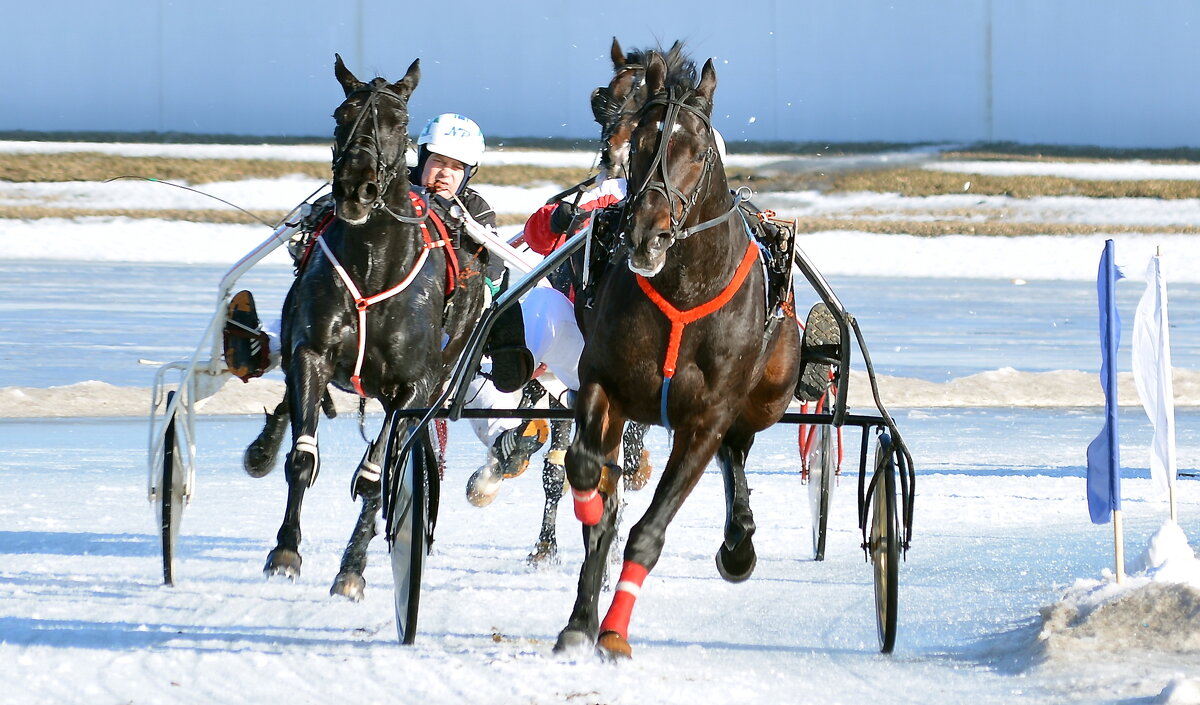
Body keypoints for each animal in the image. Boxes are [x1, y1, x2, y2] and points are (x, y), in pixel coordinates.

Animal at [250, 53, 489, 599]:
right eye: (341, 114)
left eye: (398, 121)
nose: (355, 187)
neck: (373, 260)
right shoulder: (312, 352)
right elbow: (302, 456)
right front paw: (286, 551)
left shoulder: (414, 386)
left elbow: (376, 476)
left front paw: (351, 569)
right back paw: (263, 448)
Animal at [556, 48, 801, 657]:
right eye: (644, 143)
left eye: (697, 149)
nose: (647, 235)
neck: (684, 287)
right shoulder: (604, 383)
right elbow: (585, 472)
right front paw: (580, 619)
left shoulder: (704, 419)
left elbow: (649, 532)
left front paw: (613, 633)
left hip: (767, 395)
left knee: (737, 449)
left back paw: (739, 541)